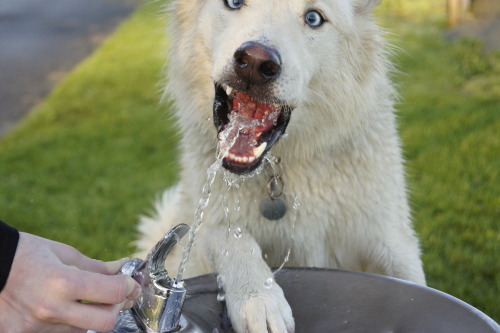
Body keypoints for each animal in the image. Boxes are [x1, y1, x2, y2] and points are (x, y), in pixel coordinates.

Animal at [136, 1, 426, 330]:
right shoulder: (205, 218)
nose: (255, 62)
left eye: (313, 18)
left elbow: (411, 279)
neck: (284, 165)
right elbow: (229, 237)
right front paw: (258, 300)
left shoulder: (393, 239)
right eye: (233, 3)